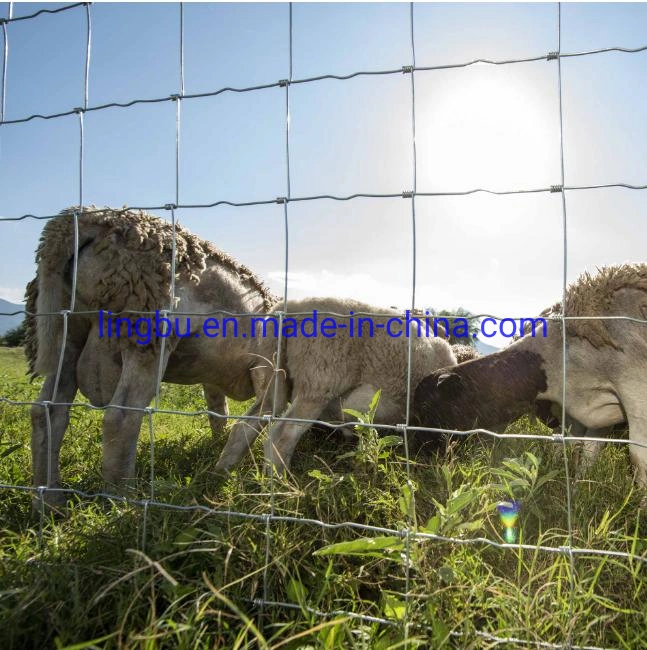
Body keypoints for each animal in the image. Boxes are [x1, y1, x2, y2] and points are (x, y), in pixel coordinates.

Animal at [27, 205, 278, 504]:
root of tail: (77, 220)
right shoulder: (268, 368)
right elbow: (255, 417)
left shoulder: (217, 377)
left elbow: (219, 411)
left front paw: (218, 449)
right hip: (147, 327)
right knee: (121, 417)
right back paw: (122, 498)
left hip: (68, 329)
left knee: (47, 412)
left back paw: (50, 500)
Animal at [215, 298, 458, 470]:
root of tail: (291, 308)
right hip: (319, 378)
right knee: (282, 435)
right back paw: (282, 488)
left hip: (273, 372)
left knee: (247, 423)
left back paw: (223, 471)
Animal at [416, 264, 647, 486]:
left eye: (427, 407)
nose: (418, 455)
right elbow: (583, 448)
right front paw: (579, 483)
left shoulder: (635, 392)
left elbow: (637, 459)